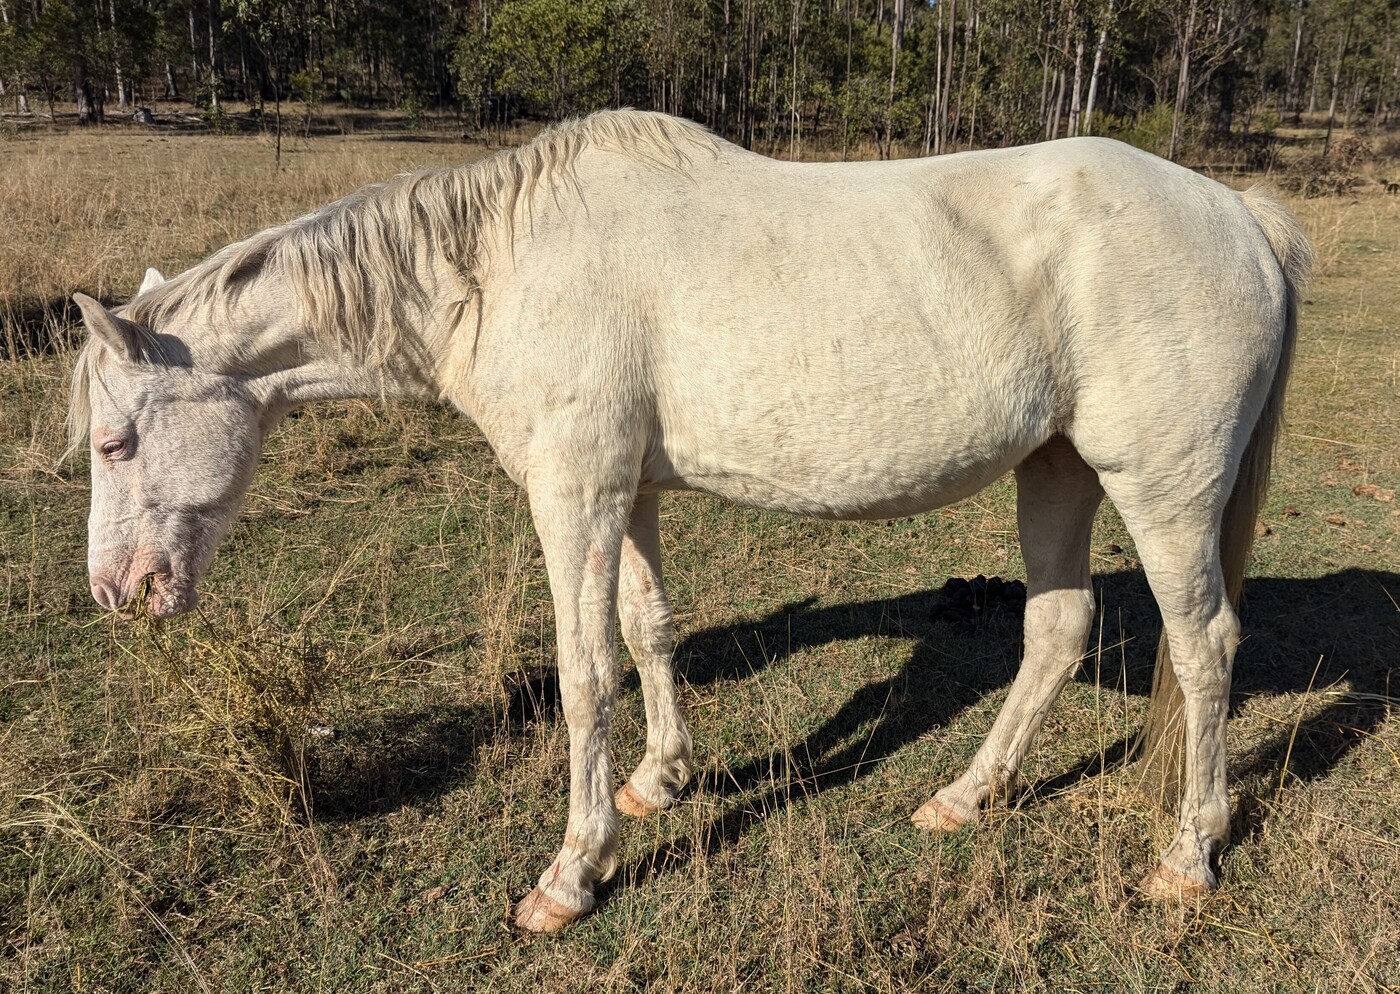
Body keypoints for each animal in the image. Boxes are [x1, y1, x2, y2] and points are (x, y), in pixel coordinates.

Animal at [68, 110, 1311, 932]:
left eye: (114, 441)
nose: (118, 594)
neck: (495, 271)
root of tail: (1235, 213)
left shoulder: (572, 492)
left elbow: (584, 673)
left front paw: (573, 873)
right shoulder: (627, 492)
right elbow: (649, 630)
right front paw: (658, 782)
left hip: (1160, 488)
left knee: (1202, 650)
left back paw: (1186, 855)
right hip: (1054, 470)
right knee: (1054, 631)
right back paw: (964, 796)